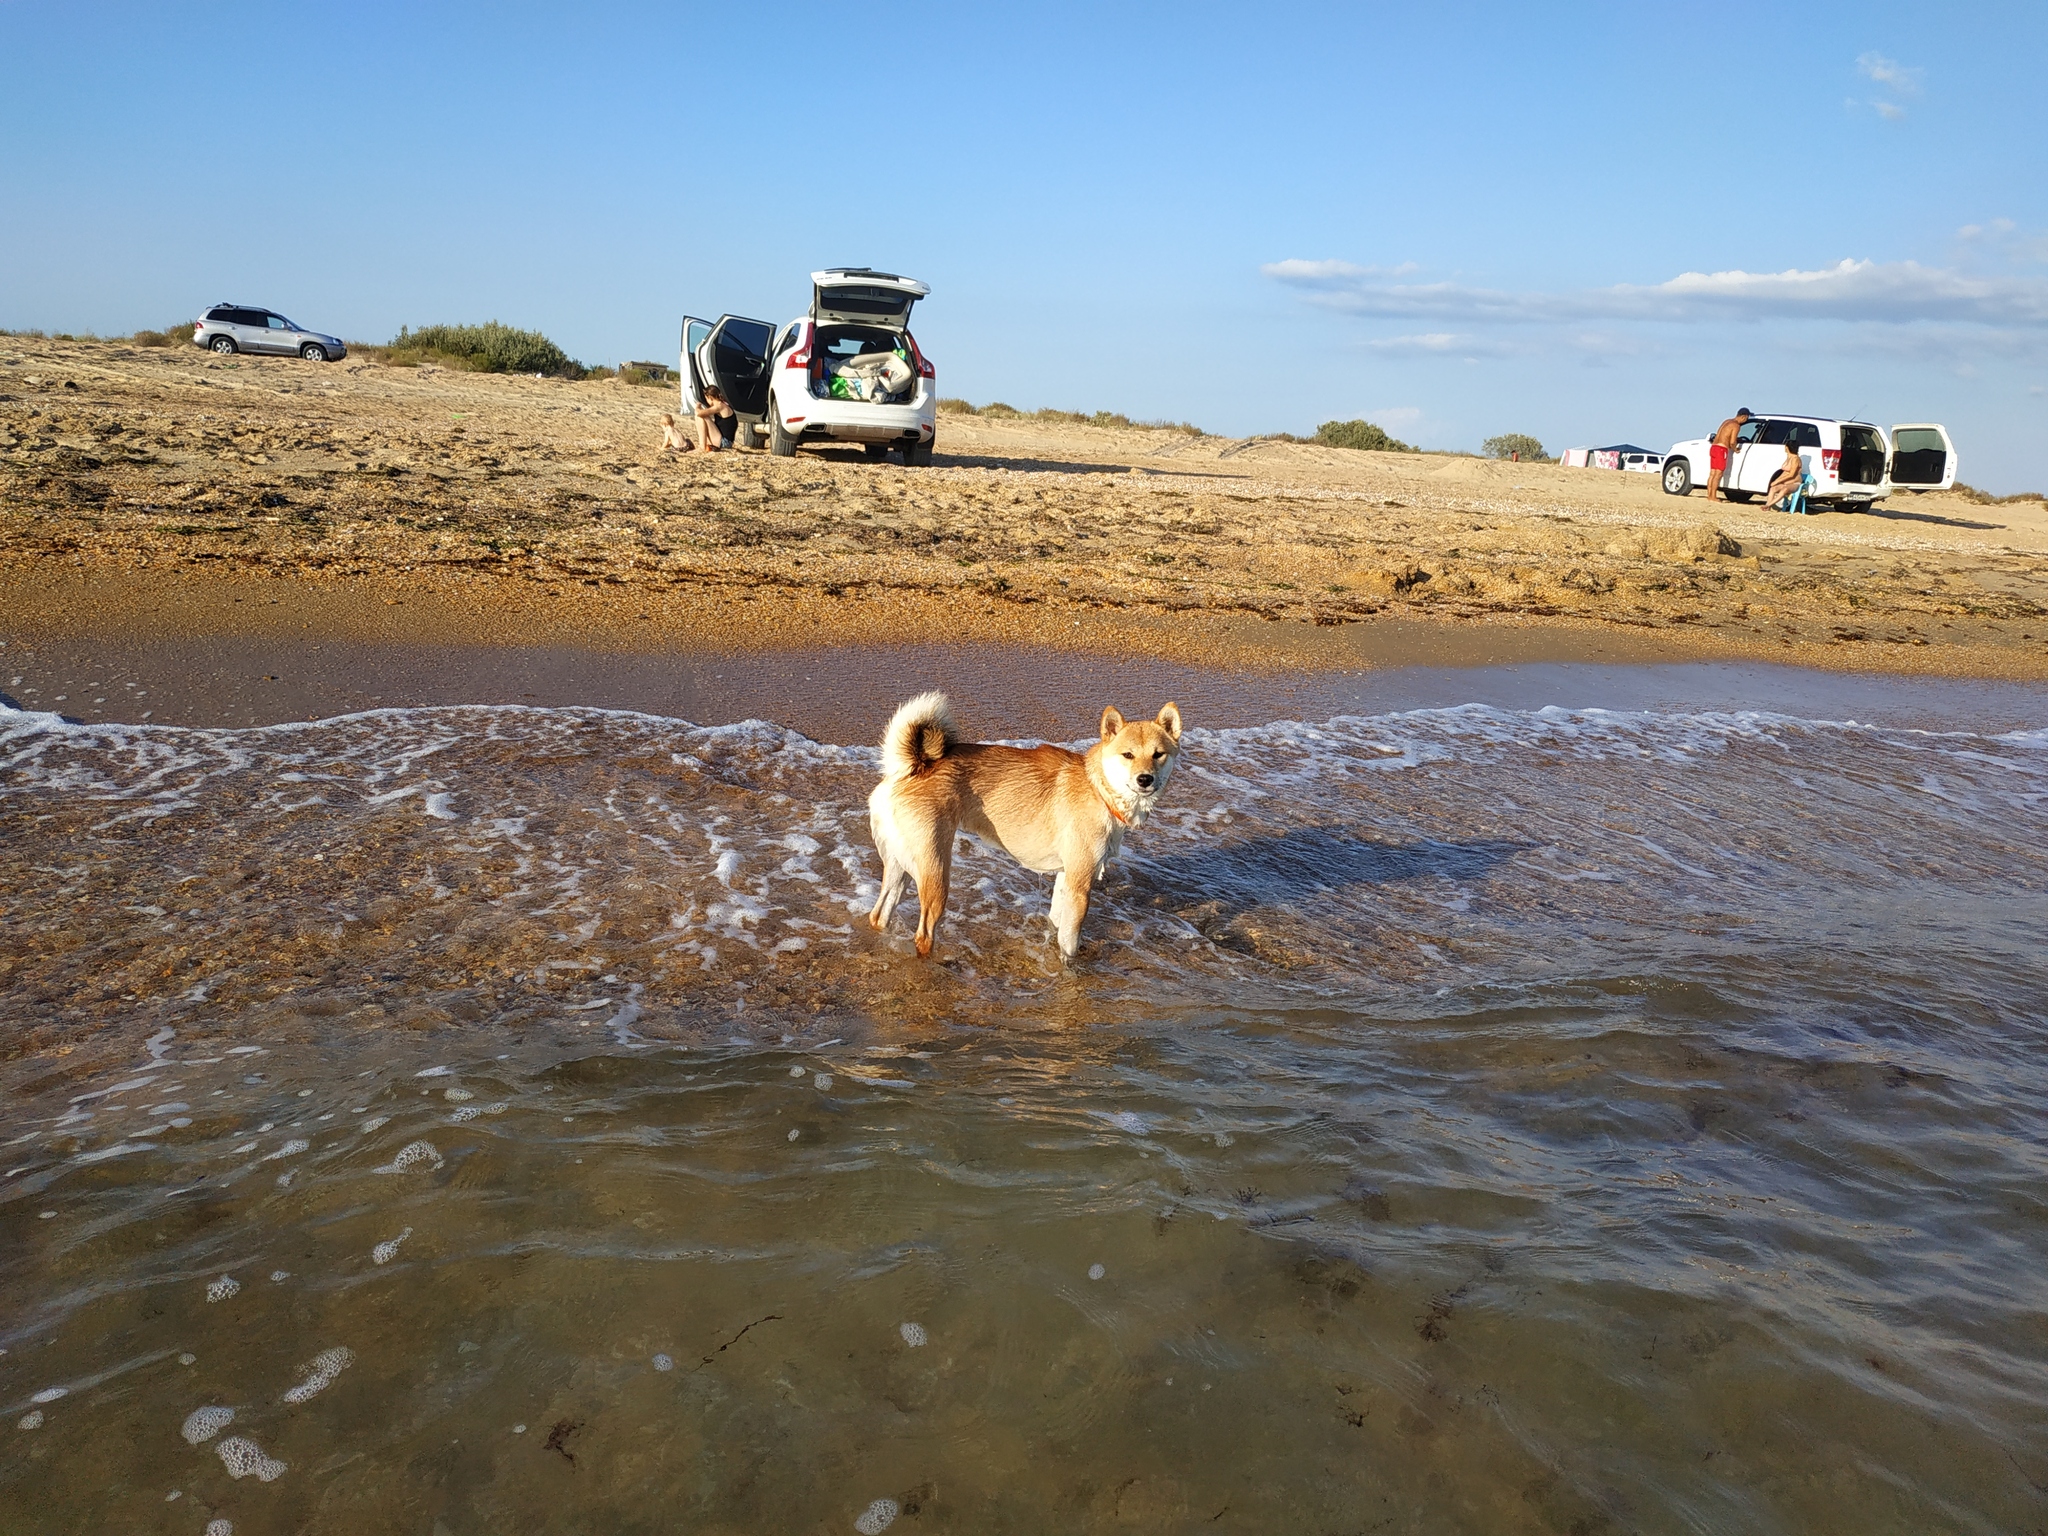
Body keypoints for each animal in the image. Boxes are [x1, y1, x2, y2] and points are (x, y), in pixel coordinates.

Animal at [864, 696, 1187, 962]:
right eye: (1127, 755)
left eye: (1158, 754)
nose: (1145, 779)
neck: (1099, 788)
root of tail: (912, 766)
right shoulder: (1080, 886)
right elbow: (1069, 944)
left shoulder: (1065, 878)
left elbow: (1057, 925)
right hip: (935, 875)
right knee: (923, 936)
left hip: (901, 868)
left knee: (879, 915)